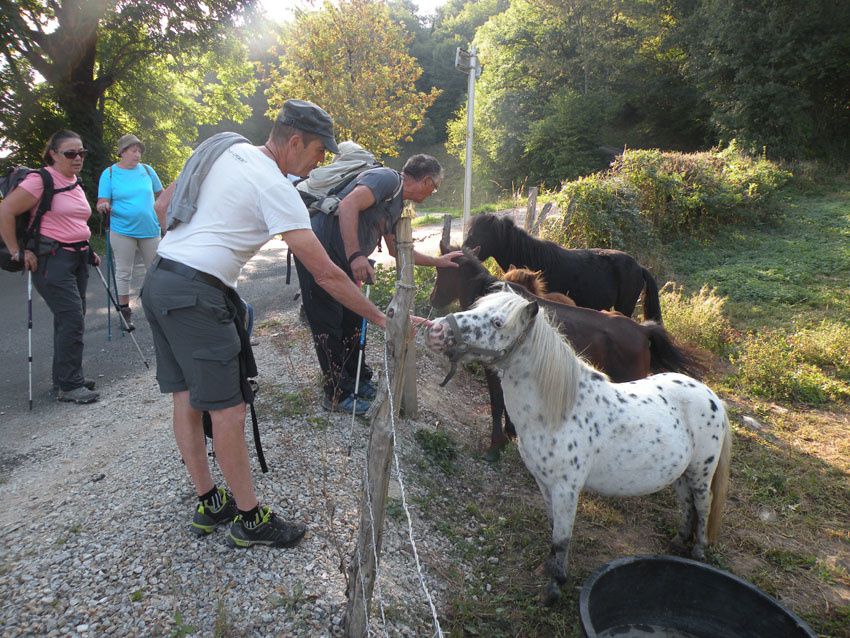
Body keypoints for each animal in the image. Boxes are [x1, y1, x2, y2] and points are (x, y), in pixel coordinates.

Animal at [428, 292, 732, 608]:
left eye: (498, 322)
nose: (435, 330)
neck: (559, 412)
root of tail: (713, 397)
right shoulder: (544, 483)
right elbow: (553, 527)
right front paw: (549, 569)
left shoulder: (566, 488)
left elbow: (561, 539)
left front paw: (553, 590)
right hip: (682, 474)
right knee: (687, 504)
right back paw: (678, 542)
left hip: (700, 473)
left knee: (703, 504)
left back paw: (698, 551)